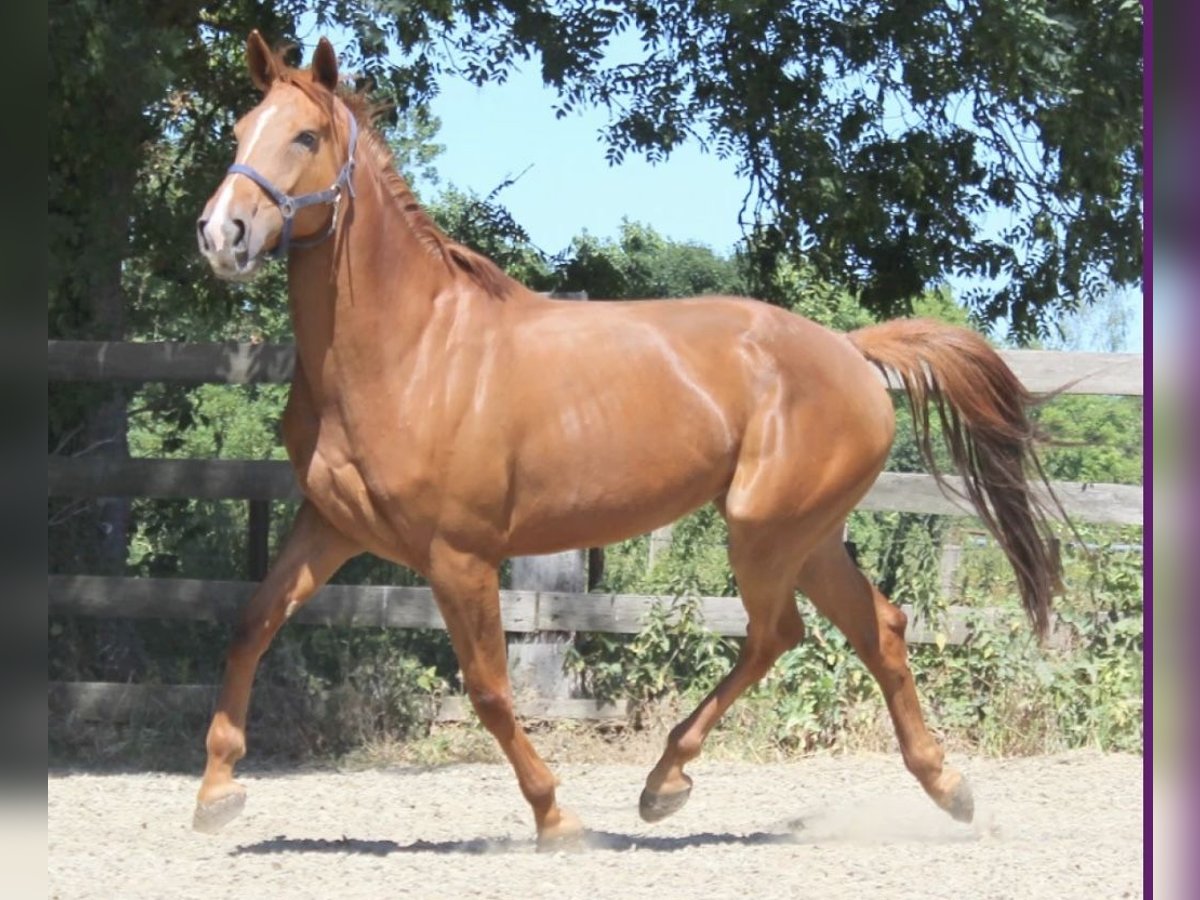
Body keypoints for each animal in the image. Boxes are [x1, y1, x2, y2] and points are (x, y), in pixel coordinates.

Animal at [194, 33, 1060, 844]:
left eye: (305, 135)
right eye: (238, 129)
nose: (220, 234)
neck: (408, 351)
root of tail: (851, 351)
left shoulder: (460, 556)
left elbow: (489, 689)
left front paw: (556, 819)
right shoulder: (330, 526)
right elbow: (249, 625)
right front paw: (216, 794)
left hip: (764, 530)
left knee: (777, 633)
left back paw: (665, 784)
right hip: (807, 537)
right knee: (876, 629)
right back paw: (946, 788)